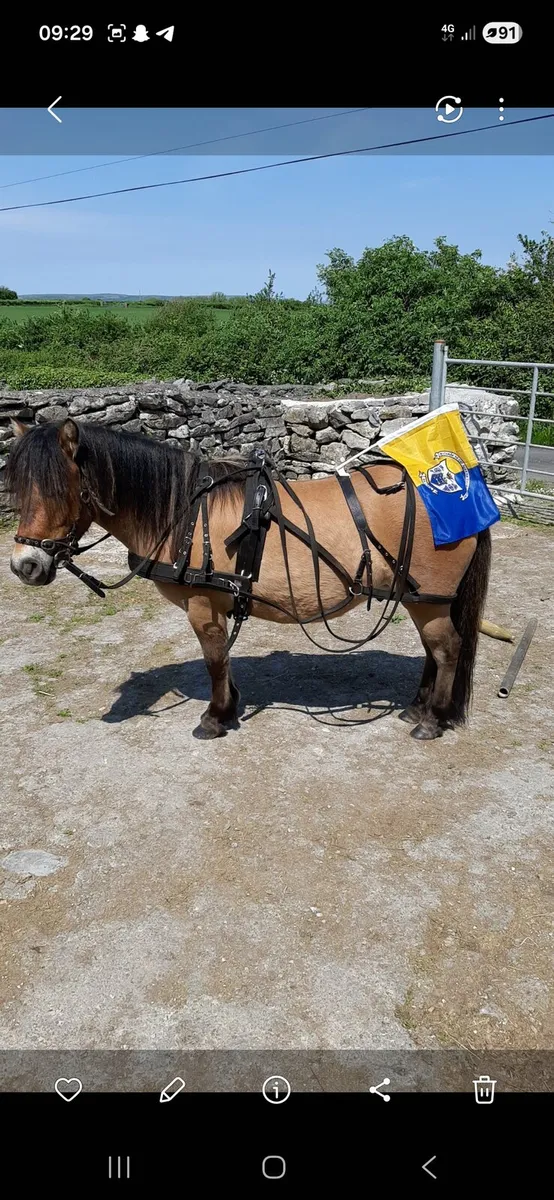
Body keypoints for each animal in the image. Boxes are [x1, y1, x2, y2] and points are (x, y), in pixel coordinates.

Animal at [6, 417, 491, 742]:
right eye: (19, 488)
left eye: (58, 490)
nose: (24, 566)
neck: (184, 515)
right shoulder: (218, 605)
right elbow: (223, 657)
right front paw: (230, 705)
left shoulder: (202, 605)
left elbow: (214, 659)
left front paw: (215, 717)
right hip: (421, 598)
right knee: (433, 651)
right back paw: (417, 709)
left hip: (428, 599)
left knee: (447, 650)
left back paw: (431, 720)